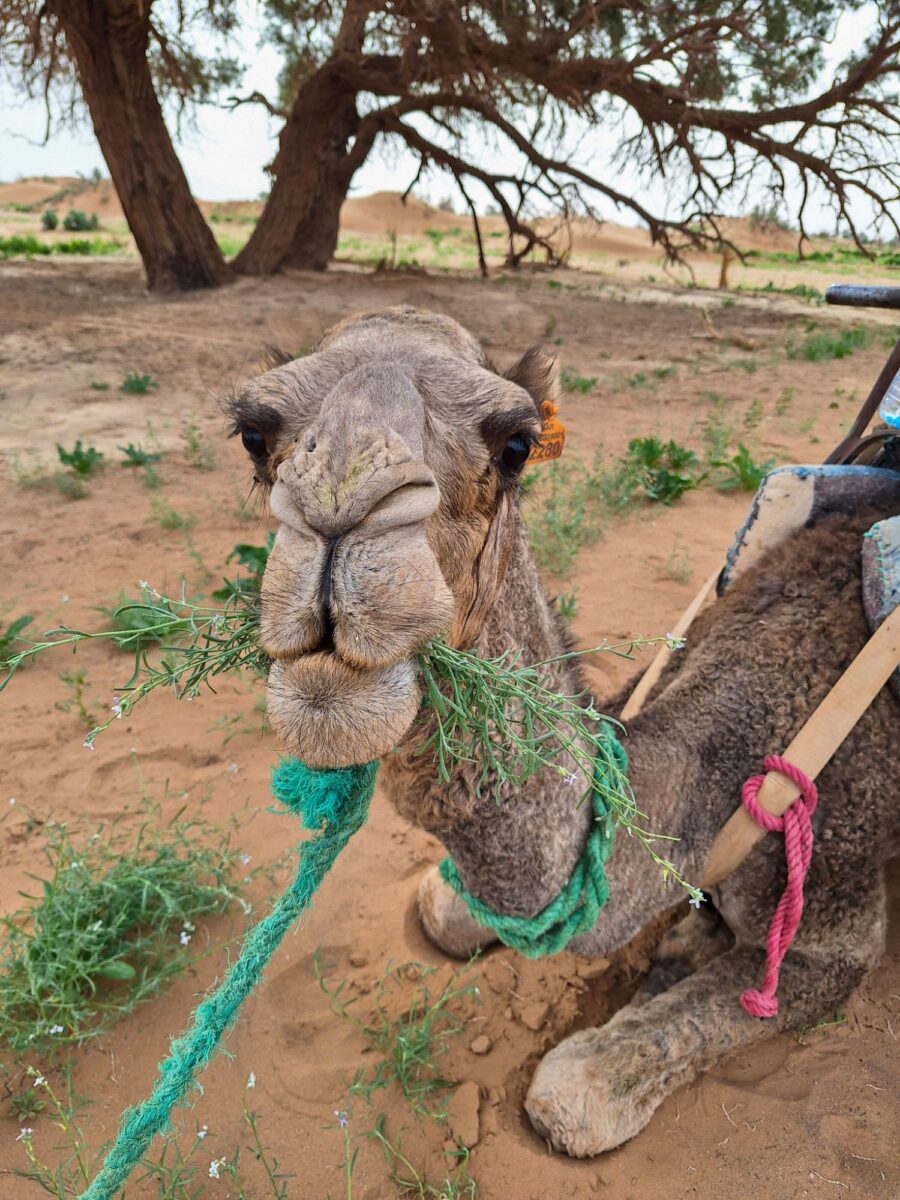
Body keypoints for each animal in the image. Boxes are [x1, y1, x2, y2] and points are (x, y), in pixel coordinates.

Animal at [228, 305, 900, 1158]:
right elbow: (444, 910)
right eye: (253, 434)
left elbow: (573, 1092)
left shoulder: (829, 912)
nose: (338, 517)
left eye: (515, 444)